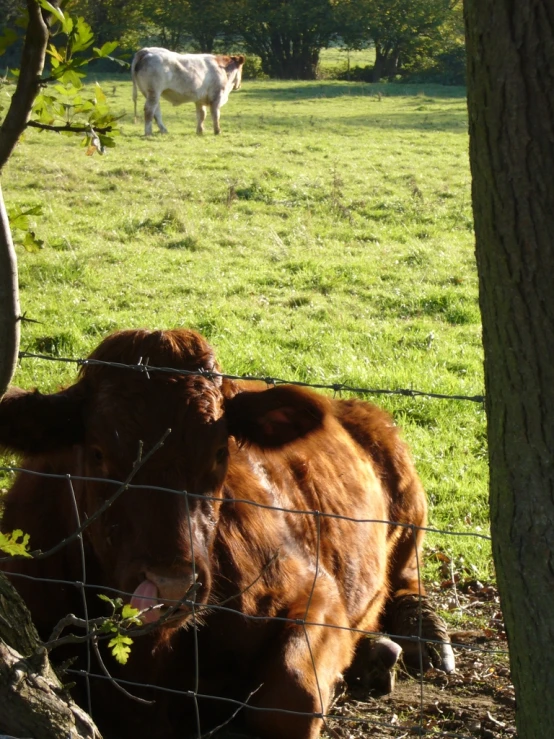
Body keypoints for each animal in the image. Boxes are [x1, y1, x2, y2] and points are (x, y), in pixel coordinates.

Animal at [0, 330, 450, 739]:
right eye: (98, 454)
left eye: (220, 452)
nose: (171, 585)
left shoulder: (316, 590)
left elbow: (291, 698)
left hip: (407, 500)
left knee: (406, 577)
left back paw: (420, 639)